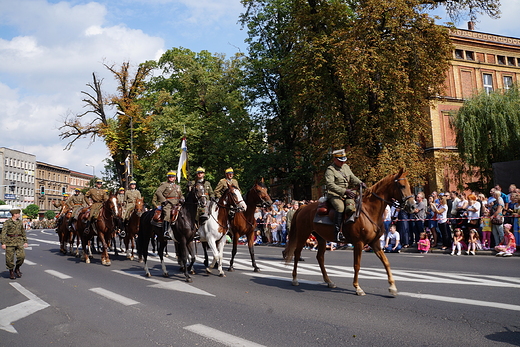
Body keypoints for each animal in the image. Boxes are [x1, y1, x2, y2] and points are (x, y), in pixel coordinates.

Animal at [284, 169, 414, 296]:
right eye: (402, 186)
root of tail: (303, 207)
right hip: (303, 235)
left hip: (321, 238)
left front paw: (392, 287)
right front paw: (357, 288)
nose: (412, 206)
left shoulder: (375, 243)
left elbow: (386, 262)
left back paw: (329, 281)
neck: (369, 212)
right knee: (297, 254)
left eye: (409, 185)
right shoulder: (359, 243)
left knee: (320, 257)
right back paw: (295, 279)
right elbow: (357, 265)